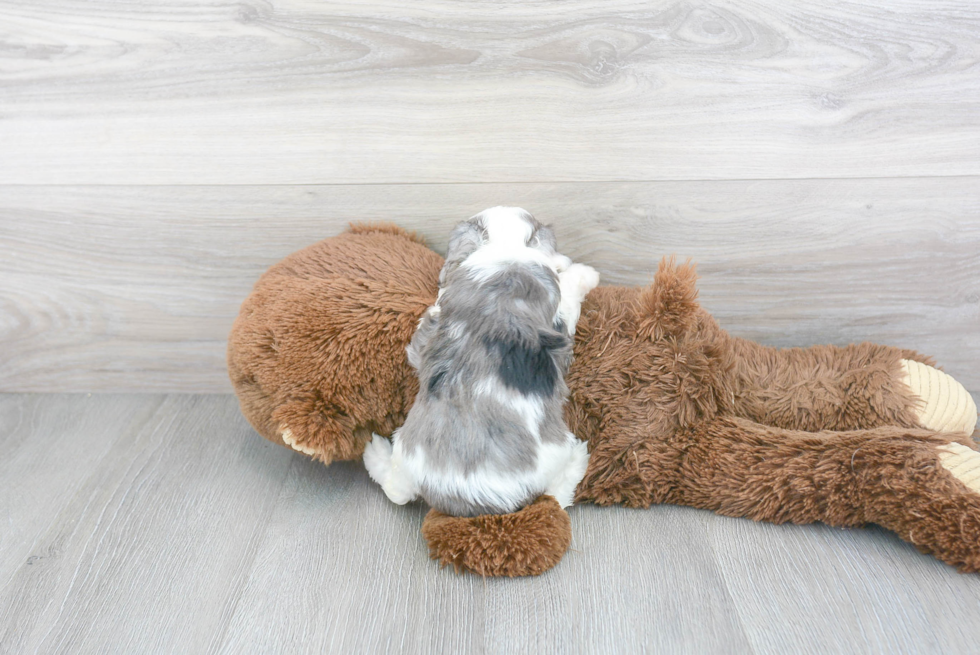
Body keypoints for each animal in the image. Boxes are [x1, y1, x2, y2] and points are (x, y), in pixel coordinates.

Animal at [364, 208, 600, 516]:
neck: (504, 247)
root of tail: (470, 498)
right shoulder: (559, 305)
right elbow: (569, 287)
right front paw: (583, 271)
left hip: (405, 452)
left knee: (396, 489)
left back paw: (375, 452)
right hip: (557, 451)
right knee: (558, 494)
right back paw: (580, 458)